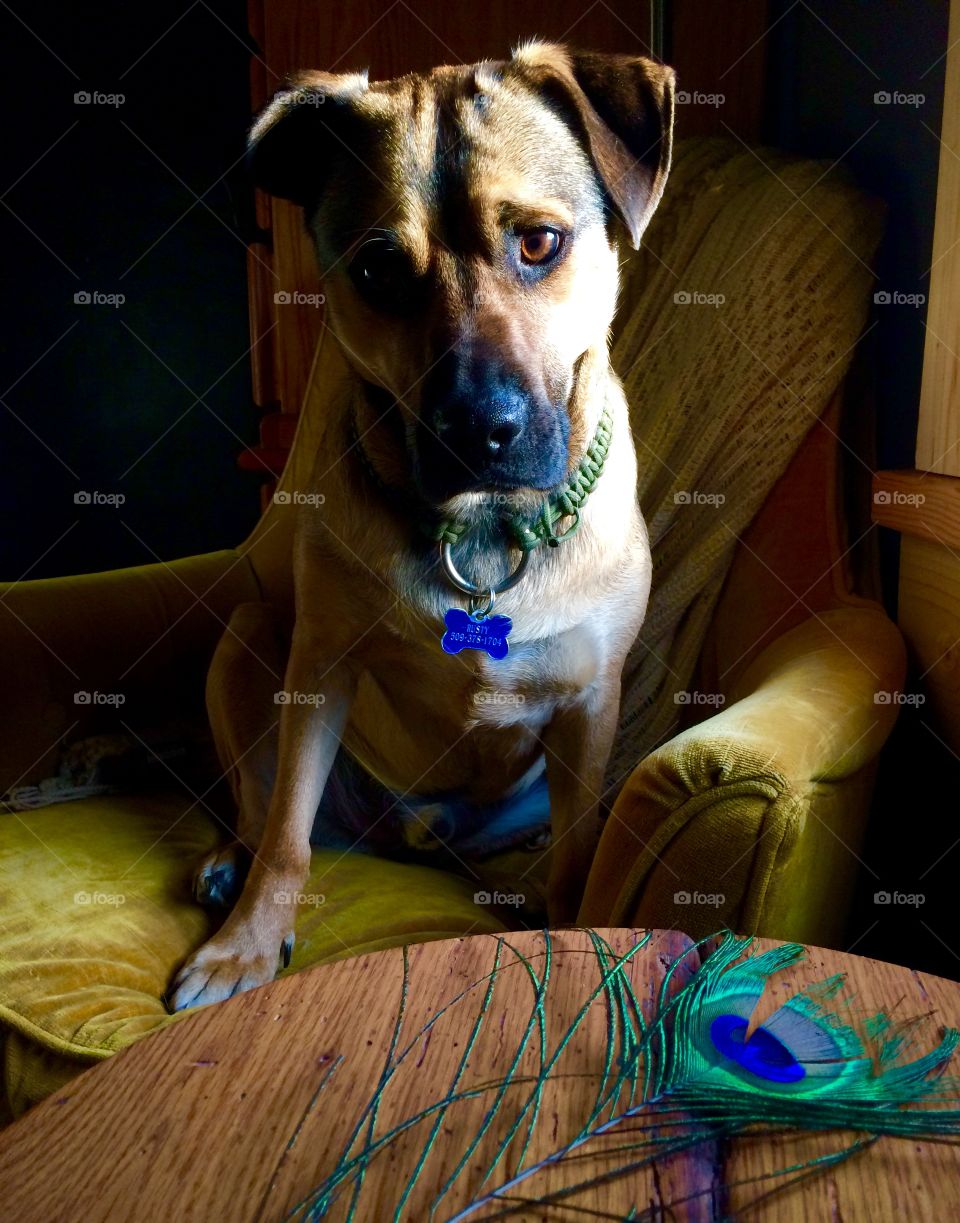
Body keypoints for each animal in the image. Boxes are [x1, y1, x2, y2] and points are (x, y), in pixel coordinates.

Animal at [166, 40, 675, 1012]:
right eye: (376, 270)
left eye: (539, 242)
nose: (477, 430)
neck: (483, 531)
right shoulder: (319, 668)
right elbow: (285, 838)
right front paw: (244, 944)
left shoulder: (591, 707)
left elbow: (580, 853)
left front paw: (571, 918)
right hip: (247, 644)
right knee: (257, 808)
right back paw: (226, 866)